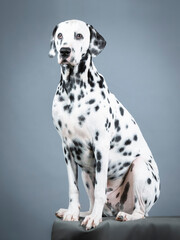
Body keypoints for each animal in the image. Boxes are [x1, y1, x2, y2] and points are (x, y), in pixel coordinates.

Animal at [48, 20, 160, 231]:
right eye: (59, 35)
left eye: (79, 35)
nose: (65, 51)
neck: (74, 90)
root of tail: (115, 207)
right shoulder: (67, 149)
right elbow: (73, 189)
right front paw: (72, 212)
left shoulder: (100, 146)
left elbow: (100, 189)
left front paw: (93, 220)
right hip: (86, 173)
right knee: (94, 203)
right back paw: (85, 213)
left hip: (140, 168)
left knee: (141, 212)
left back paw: (124, 216)